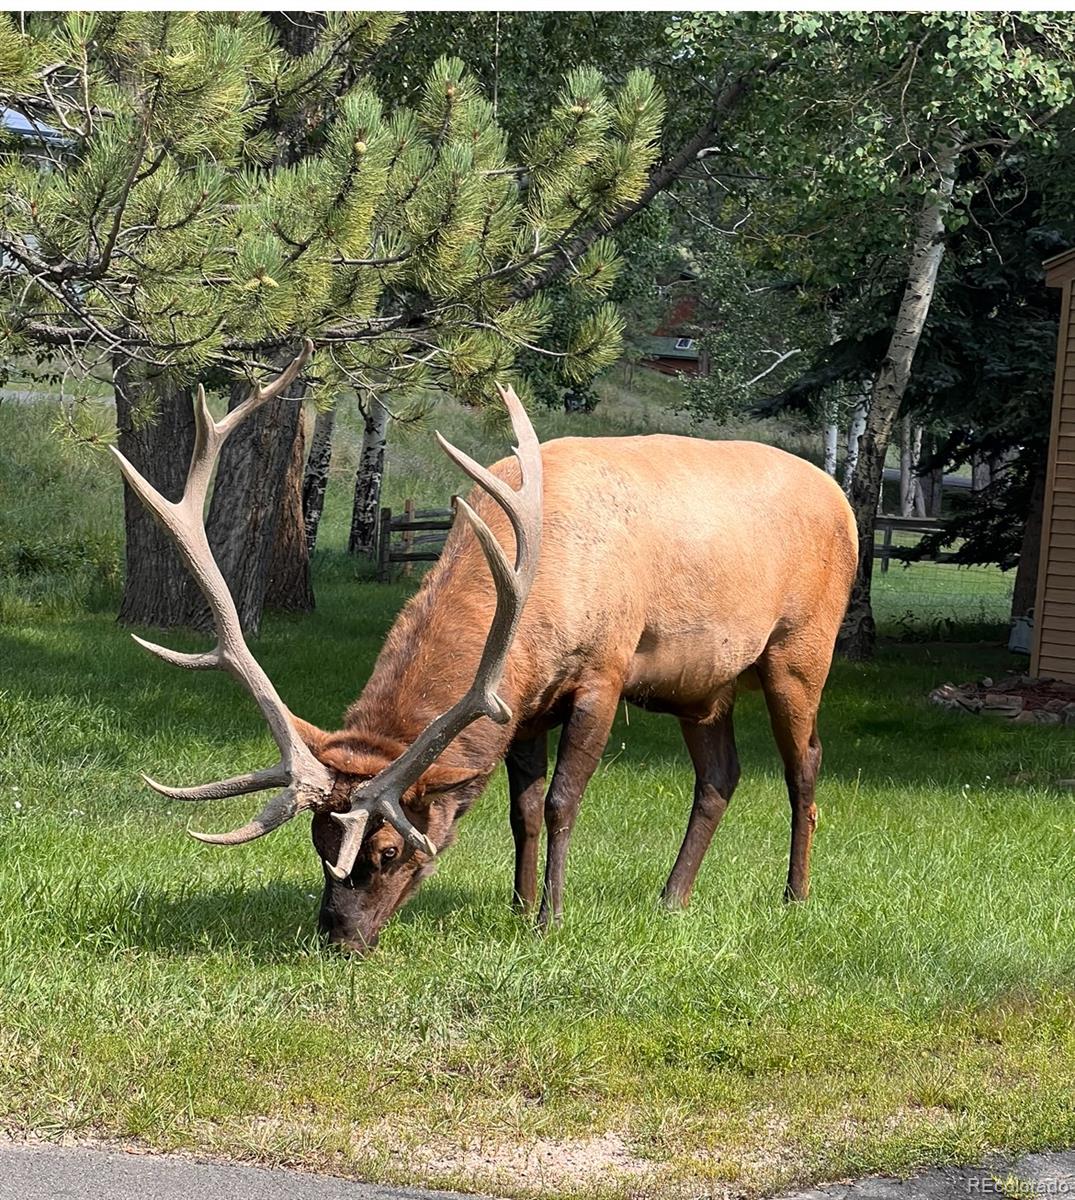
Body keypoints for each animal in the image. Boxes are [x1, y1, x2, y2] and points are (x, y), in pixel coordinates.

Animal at [113, 343, 854, 950]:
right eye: (318, 843)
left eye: (388, 852)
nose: (336, 936)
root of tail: (843, 500)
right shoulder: (522, 707)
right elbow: (520, 809)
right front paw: (518, 907)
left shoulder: (603, 672)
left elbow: (560, 802)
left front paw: (551, 919)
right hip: (704, 685)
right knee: (720, 776)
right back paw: (672, 898)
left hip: (800, 651)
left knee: (805, 764)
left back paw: (794, 894)